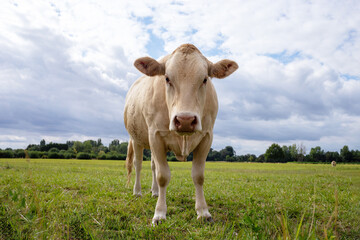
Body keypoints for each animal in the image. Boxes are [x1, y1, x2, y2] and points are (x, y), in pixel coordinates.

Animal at [124, 43, 239, 225]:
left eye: (205, 79)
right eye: (167, 78)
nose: (185, 120)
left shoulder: (207, 136)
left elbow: (198, 176)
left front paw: (203, 212)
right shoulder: (155, 135)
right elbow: (163, 176)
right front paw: (159, 214)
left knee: (153, 165)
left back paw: (155, 192)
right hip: (137, 139)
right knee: (138, 165)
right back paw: (137, 191)